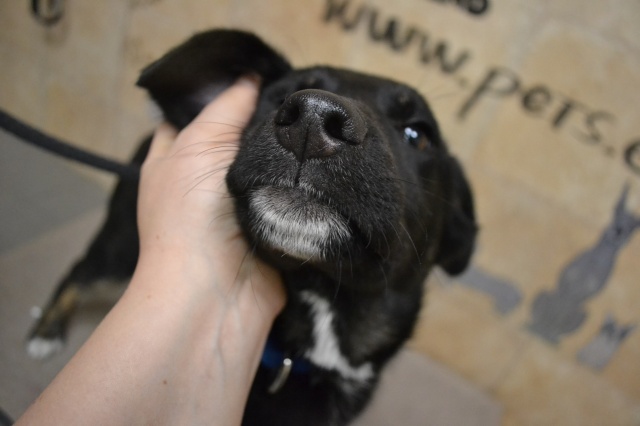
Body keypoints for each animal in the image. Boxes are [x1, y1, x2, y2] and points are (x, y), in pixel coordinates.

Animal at [27, 29, 477, 426]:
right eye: (279, 97)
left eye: (418, 134)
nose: (312, 119)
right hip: (122, 243)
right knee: (80, 271)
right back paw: (45, 331)